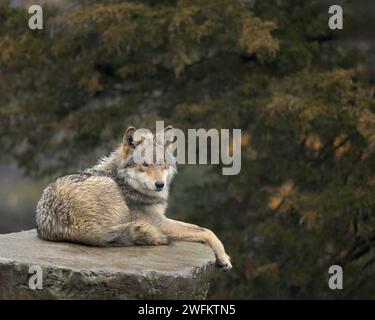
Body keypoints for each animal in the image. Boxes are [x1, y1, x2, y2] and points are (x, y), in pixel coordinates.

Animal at [37, 125, 232, 270]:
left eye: (162, 163)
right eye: (145, 164)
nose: (160, 184)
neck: (124, 181)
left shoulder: (161, 218)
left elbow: (200, 228)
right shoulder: (159, 222)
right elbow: (206, 231)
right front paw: (223, 257)